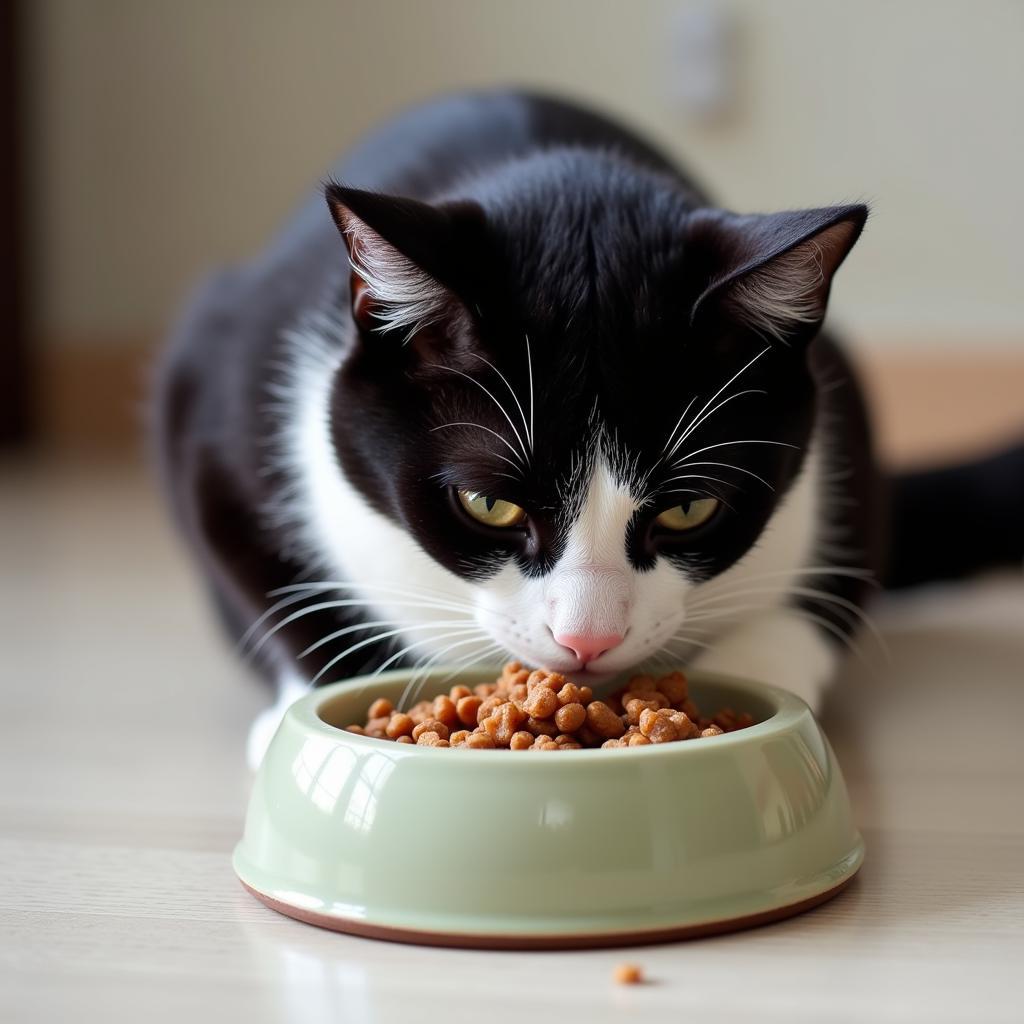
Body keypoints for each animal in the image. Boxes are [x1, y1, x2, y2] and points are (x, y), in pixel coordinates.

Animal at [153, 88, 1024, 765]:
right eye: (488, 505)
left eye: (689, 508)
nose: (587, 644)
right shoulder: (214, 385)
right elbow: (273, 584)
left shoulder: (842, 430)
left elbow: (826, 591)